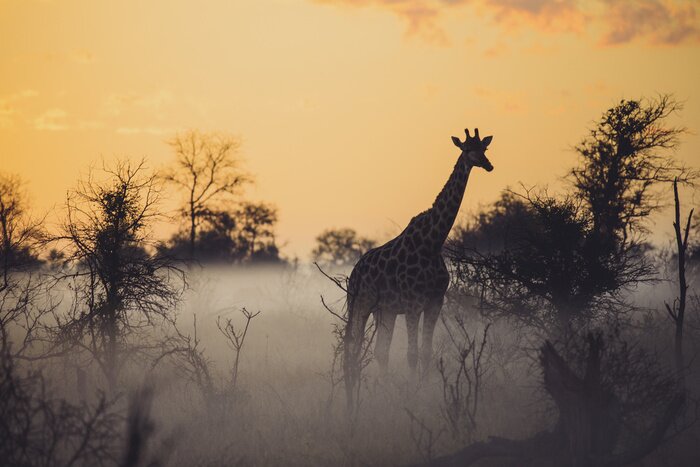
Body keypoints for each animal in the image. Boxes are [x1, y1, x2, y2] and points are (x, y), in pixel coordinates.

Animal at [343, 128, 494, 410]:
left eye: (485, 148)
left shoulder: (434, 302)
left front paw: (424, 391)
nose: (488, 165)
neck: (433, 241)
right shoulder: (413, 303)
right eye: (467, 149)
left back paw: (381, 390)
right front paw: (413, 395)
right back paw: (351, 393)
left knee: (380, 350)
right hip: (360, 304)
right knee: (354, 347)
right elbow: (412, 354)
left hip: (385, 310)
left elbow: (425, 353)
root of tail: (354, 274)